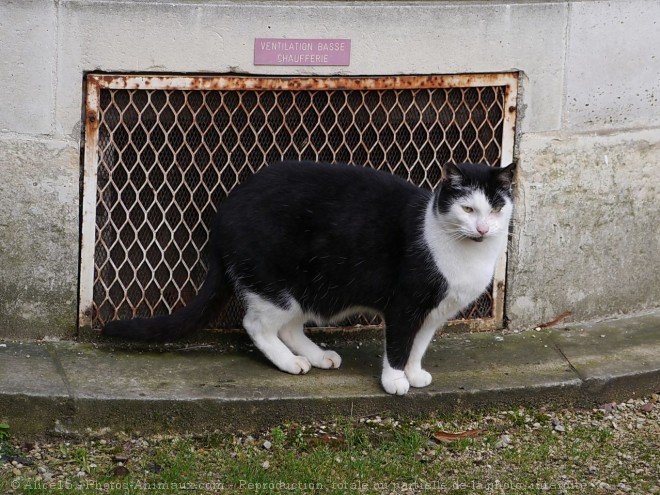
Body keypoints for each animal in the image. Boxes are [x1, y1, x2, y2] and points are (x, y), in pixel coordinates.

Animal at [103, 161, 516, 398]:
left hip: (312, 285)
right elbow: (399, 343)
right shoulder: (405, 304)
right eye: (467, 208)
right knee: (256, 324)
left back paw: (317, 356)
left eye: (497, 208)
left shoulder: (433, 313)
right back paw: (290, 362)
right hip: (275, 284)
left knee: (289, 325)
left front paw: (413, 373)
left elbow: (418, 345)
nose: (483, 228)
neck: (464, 253)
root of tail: (223, 213)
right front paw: (395, 379)